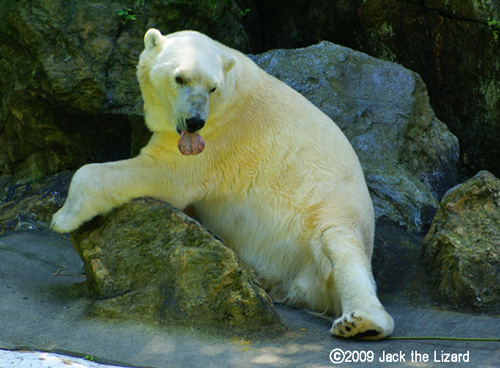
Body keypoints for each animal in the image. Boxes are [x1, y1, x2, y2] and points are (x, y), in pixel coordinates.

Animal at [51, 28, 394, 340]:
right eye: (180, 78)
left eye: (212, 87)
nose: (194, 121)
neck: (231, 88)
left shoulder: (219, 137)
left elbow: (164, 172)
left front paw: (63, 217)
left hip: (332, 213)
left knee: (338, 246)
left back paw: (361, 322)